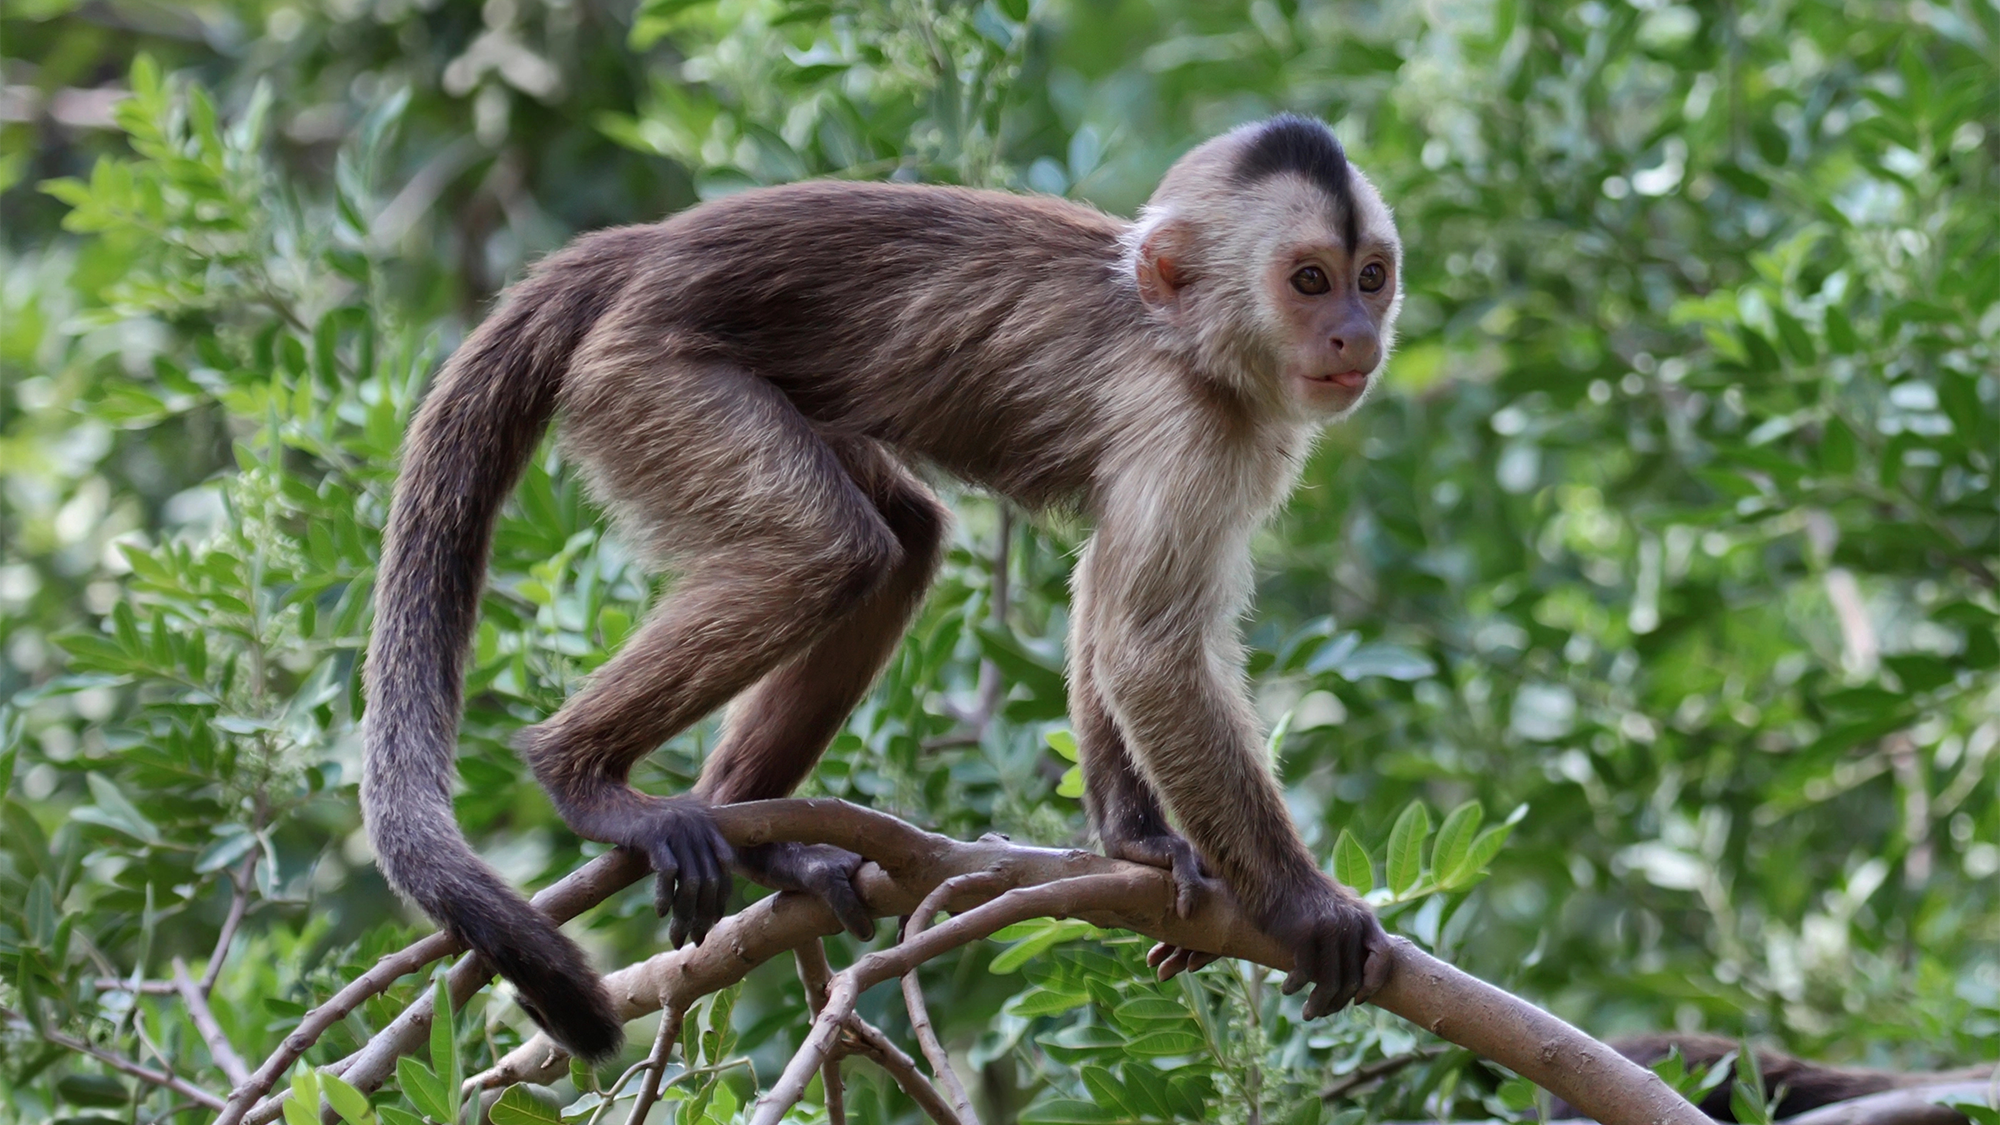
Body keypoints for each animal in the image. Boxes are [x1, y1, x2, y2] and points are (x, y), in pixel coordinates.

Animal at [368, 116, 1408, 1056]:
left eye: (1370, 276)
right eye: (1308, 280)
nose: (1355, 335)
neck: (1186, 339)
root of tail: (646, 247)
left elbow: (1110, 600)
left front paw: (1137, 846)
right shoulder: (1191, 421)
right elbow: (1149, 649)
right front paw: (1304, 905)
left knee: (901, 541)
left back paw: (759, 831)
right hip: (645, 377)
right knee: (828, 549)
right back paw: (579, 773)